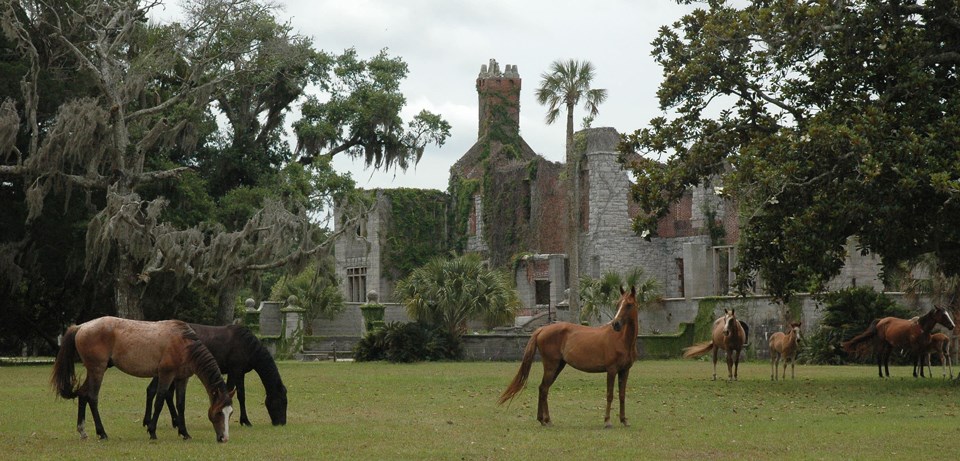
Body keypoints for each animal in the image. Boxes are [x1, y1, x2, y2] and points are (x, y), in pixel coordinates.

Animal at [51, 316, 236, 442]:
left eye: (231, 413)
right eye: (218, 413)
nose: (224, 438)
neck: (184, 344)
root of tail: (82, 326)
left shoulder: (182, 379)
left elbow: (181, 405)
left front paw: (184, 432)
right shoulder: (166, 375)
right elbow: (159, 400)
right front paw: (152, 431)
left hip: (93, 370)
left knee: (83, 394)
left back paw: (83, 431)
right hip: (97, 370)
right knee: (92, 397)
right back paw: (102, 433)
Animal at [142, 322, 284, 426]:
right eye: (282, 400)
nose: (282, 422)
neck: (248, 346)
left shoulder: (234, 372)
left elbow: (232, 391)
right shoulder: (237, 371)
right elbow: (240, 394)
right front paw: (244, 420)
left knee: (166, 394)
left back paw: (174, 421)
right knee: (153, 390)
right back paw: (150, 421)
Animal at [498, 286, 640, 426]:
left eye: (629, 304)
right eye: (618, 304)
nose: (616, 324)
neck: (621, 340)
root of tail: (542, 329)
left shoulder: (624, 371)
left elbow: (622, 395)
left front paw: (624, 420)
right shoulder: (611, 370)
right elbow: (610, 395)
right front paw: (607, 421)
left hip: (558, 366)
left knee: (543, 388)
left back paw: (543, 419)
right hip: (551, 366)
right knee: (544, 389)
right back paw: (546, 420)